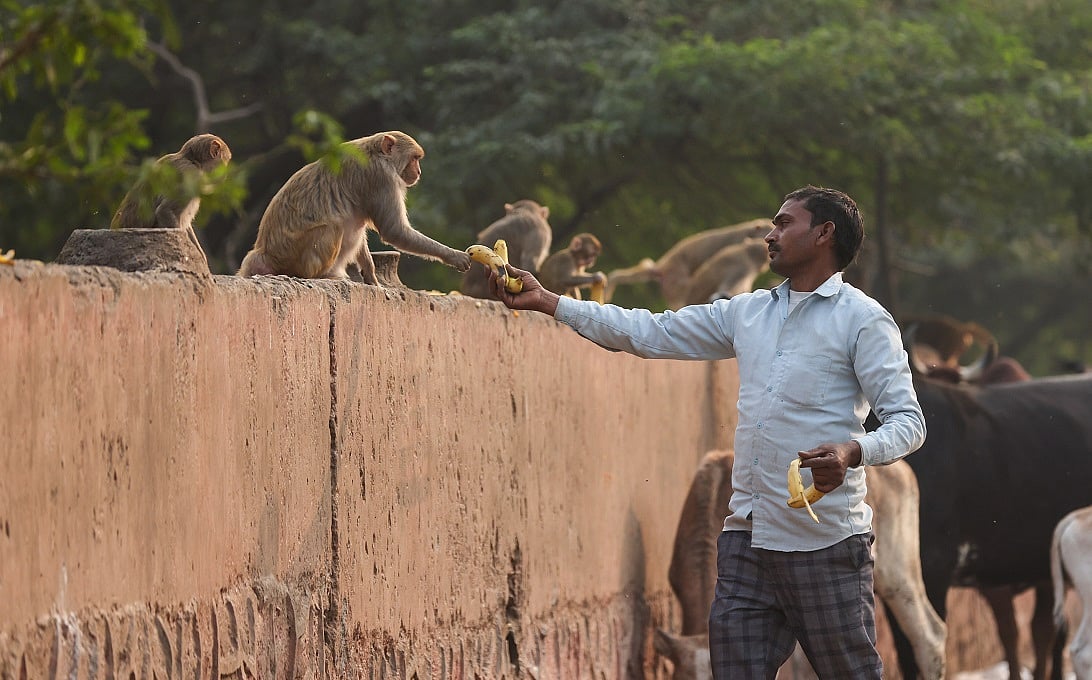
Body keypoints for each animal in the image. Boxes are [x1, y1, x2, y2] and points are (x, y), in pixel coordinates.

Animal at [237, 131, 471, 282]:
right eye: (415, 158)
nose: (419, 172)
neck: (376, 152)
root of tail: (264, 253)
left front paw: (371, 274)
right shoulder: (382, 179)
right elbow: (394, 231)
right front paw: (454, 256)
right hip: (294, 258)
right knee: (334, 227)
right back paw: (322, 276)